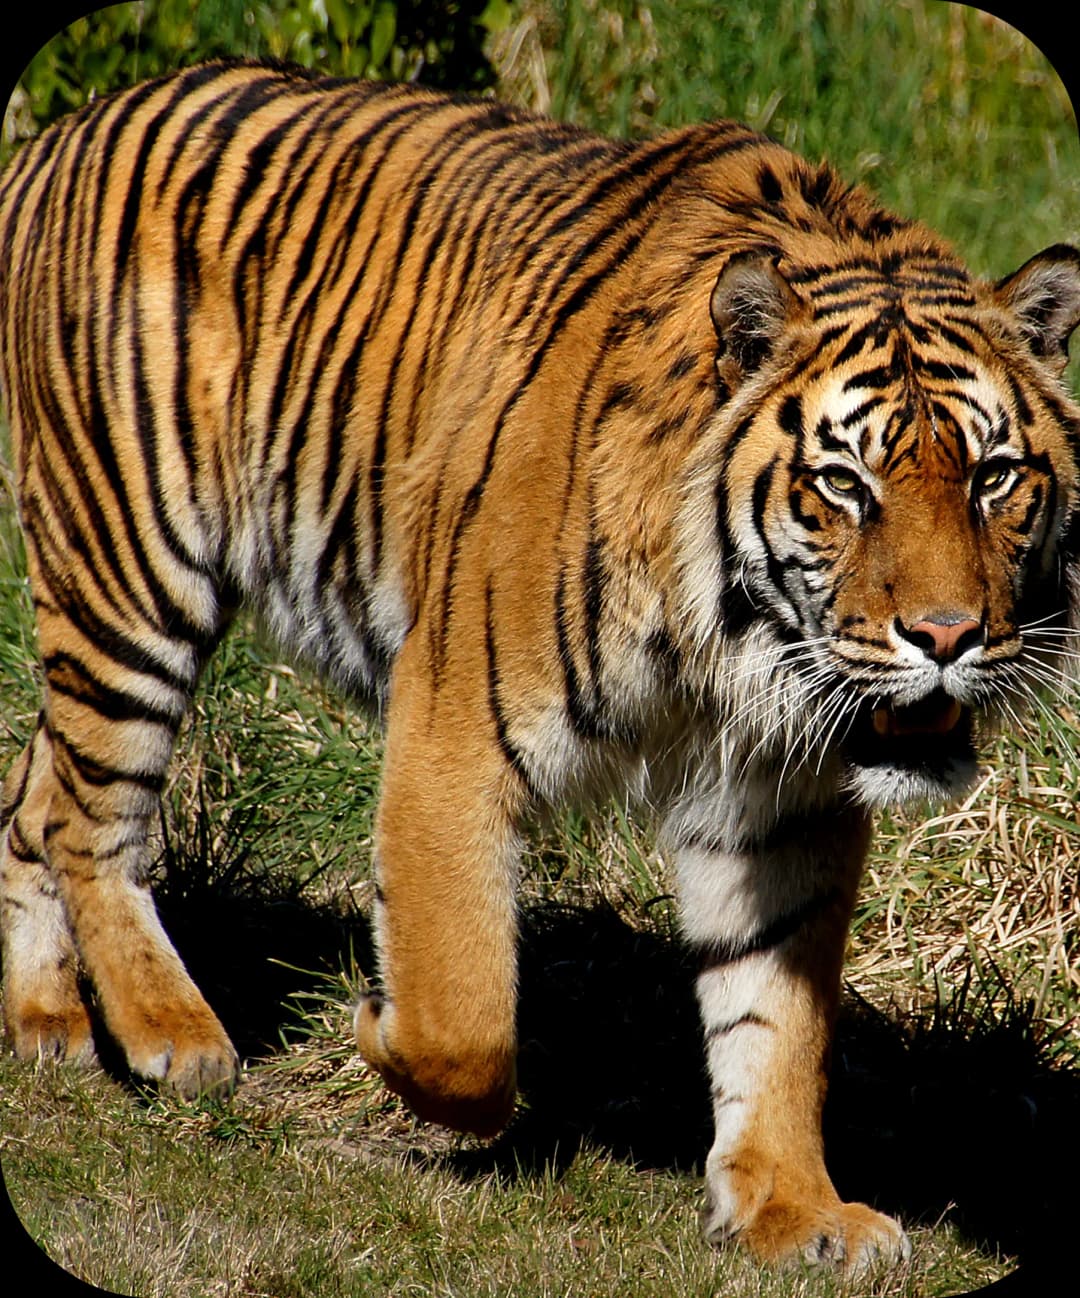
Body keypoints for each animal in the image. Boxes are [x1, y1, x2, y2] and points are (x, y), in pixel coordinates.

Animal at [1, 60, 1078, 1272]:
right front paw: (374, 1025)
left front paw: (793, 1207)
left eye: (994, 477)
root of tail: (61, 133)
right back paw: (172, 1034)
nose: (946, 635)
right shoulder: (453, 727)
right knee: (94, 817)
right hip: (132, 566)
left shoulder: (781, 801)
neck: (736, 644)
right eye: (846, 484)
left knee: (37, 795)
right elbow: (463, 1016)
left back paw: (47, 1022)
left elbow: (777, 1014)